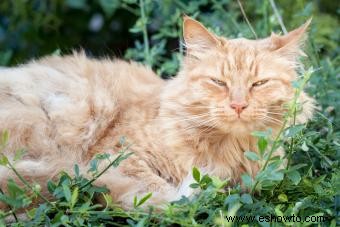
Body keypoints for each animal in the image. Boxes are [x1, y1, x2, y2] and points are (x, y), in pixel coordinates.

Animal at [0, 17, 314, 209]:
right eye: (218, 82)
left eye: (259, 84)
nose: (238, 105)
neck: (227, 151)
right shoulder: (116, 157)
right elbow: (158, 192)